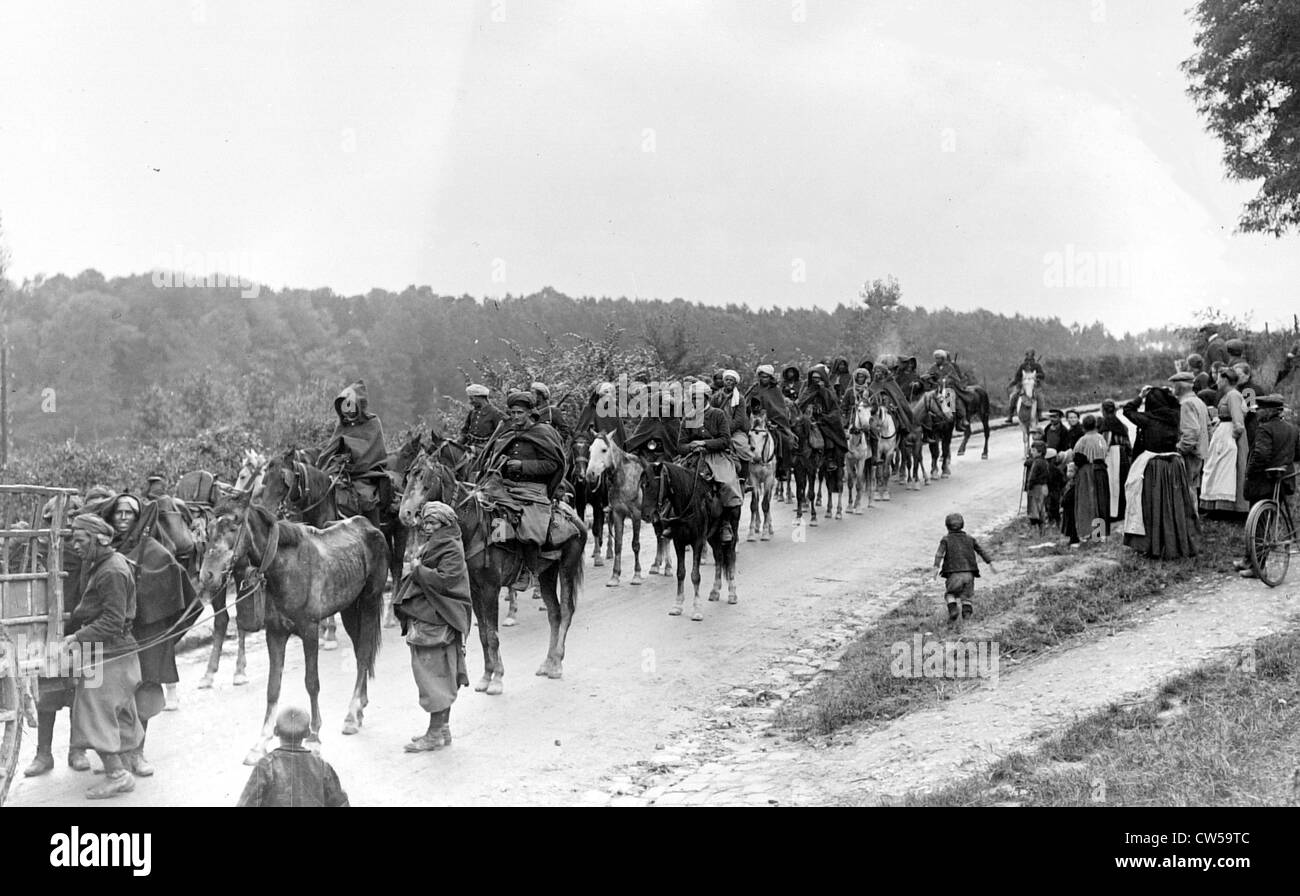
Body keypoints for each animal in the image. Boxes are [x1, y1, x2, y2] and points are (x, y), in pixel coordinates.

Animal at [192, 488, 384, 759]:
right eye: (208, 529)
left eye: (234, 524)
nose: (207, 575)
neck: (285, 568)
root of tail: (368, 526)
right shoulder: (275, 633)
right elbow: (273, 687)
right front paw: (261, 741)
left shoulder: (310, 631)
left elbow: (312, 683)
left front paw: (314, 735)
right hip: (350, 608)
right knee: (360, 653)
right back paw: (359, 709)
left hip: (369, 603)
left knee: (365, 654)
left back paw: (351, 715)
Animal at [395, 455, 590, 691]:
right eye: (408, 477)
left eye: (423, 476)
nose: (405, 514)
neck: (475, 528)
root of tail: (575, 518)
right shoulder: (474, 590)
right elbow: (483, 634)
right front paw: (487, 676)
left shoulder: (490, 588)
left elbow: (492, 634)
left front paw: (497, 679)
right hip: (546, 574)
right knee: (554, 613)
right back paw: (548, 662)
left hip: (567, 567)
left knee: (567, 611)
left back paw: (557, 664)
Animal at [587, 429, 647, 582]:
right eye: (590, 449)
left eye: (604, 449)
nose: (590, 474)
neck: (624, 479)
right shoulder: (617, 513)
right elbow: (618, 545)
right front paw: (614, 576)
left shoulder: (636, 515)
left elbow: (635, 545)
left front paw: (637, 575)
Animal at [642, 449, 738, 619]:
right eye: (642, 486)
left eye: (652, 485)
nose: (645, 515)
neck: (688, 502)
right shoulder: (678, 542)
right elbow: (681, 573)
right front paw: (677, 605)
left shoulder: (698, 542)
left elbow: (695, 575)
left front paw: (697, 609)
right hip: (712, 536)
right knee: (719, 557)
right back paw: (715, 591)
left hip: (732, 528)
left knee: (730, 556)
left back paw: (732, 593)